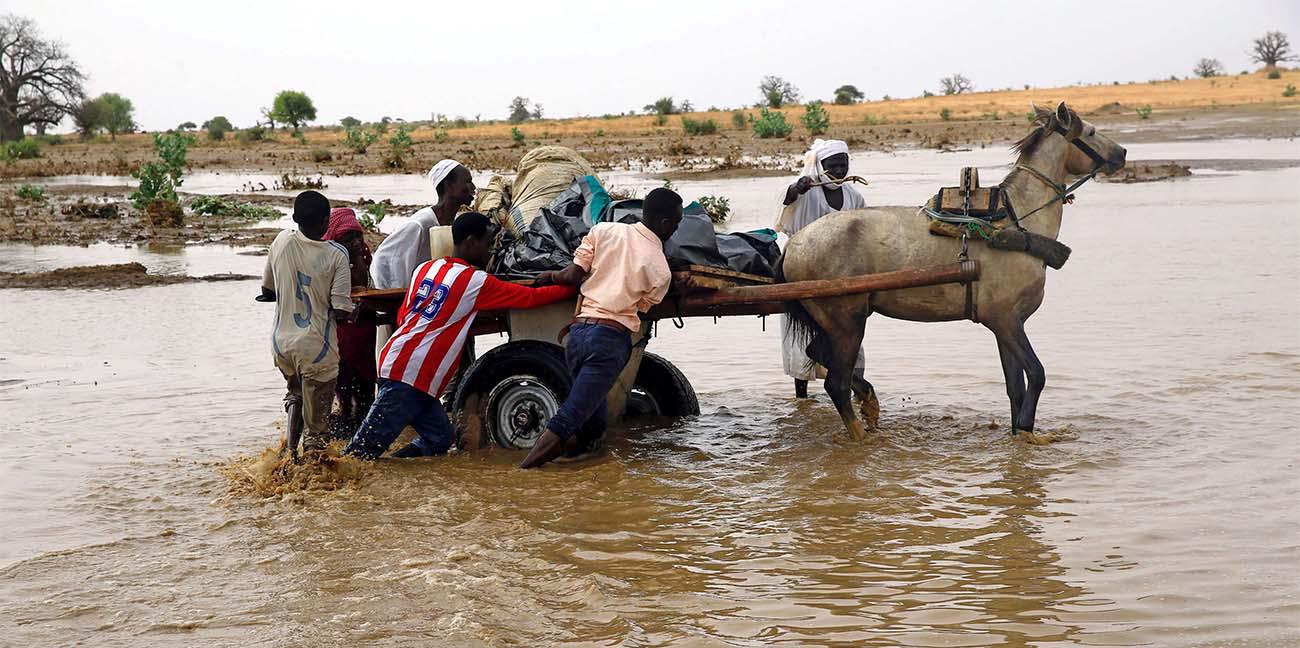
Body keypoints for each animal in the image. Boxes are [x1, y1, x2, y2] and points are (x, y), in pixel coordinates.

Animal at [774, 102, 1133, 445]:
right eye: (1091, 131)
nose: (1123, 153)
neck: (1016, 222)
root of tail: (794, 245)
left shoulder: (1004, 323)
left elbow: (1015, 385)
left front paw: (1019, 436)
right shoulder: (1005, 319)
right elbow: (1037, 373)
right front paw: (1030, 430)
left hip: (832, 321)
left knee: (820, 358)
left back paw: (868, 406)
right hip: (848, 321)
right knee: (836, 380)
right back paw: (861, 437)